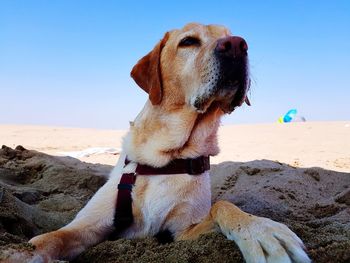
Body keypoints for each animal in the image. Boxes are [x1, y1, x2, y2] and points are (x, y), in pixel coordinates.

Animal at [4, 23, 310, 263]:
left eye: (231, 36)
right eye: (188, 41)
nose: (236, 45)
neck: (165, 158)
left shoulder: (182, 233)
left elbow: (222, 205)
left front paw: (260, 230)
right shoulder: (88, 226)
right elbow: (47, 239)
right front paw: (17, 252)